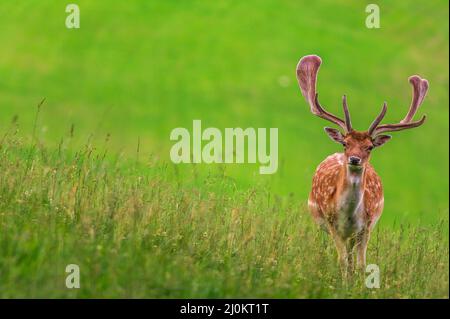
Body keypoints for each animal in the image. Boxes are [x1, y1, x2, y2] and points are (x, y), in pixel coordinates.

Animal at [296, 55, 428, 278]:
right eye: (345, 143)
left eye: (369, 147)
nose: (354, 159)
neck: (349, 215)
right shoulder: (333, 225)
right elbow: (342, 262)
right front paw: (344, 282)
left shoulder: (366, 228)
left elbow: (360, 264)